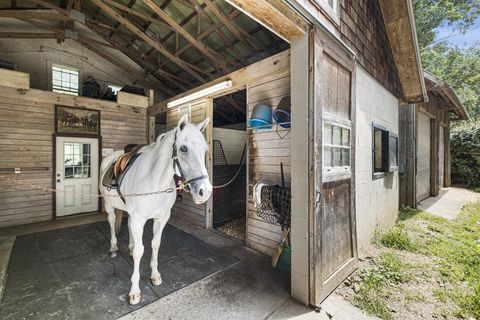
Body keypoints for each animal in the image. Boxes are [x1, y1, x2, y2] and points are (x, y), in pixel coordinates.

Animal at [99, 115, 212, 304]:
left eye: (205, 150)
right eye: (183, 148)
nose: (205, 191)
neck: (155, 181)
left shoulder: (161, 218)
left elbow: (155, 244)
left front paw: (155, 275)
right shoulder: (139, 219)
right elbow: (140, 251)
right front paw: (135, 291)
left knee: (128, 225)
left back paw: (129, 247)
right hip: (109, 205)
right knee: (112, 221)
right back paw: (114, 248)